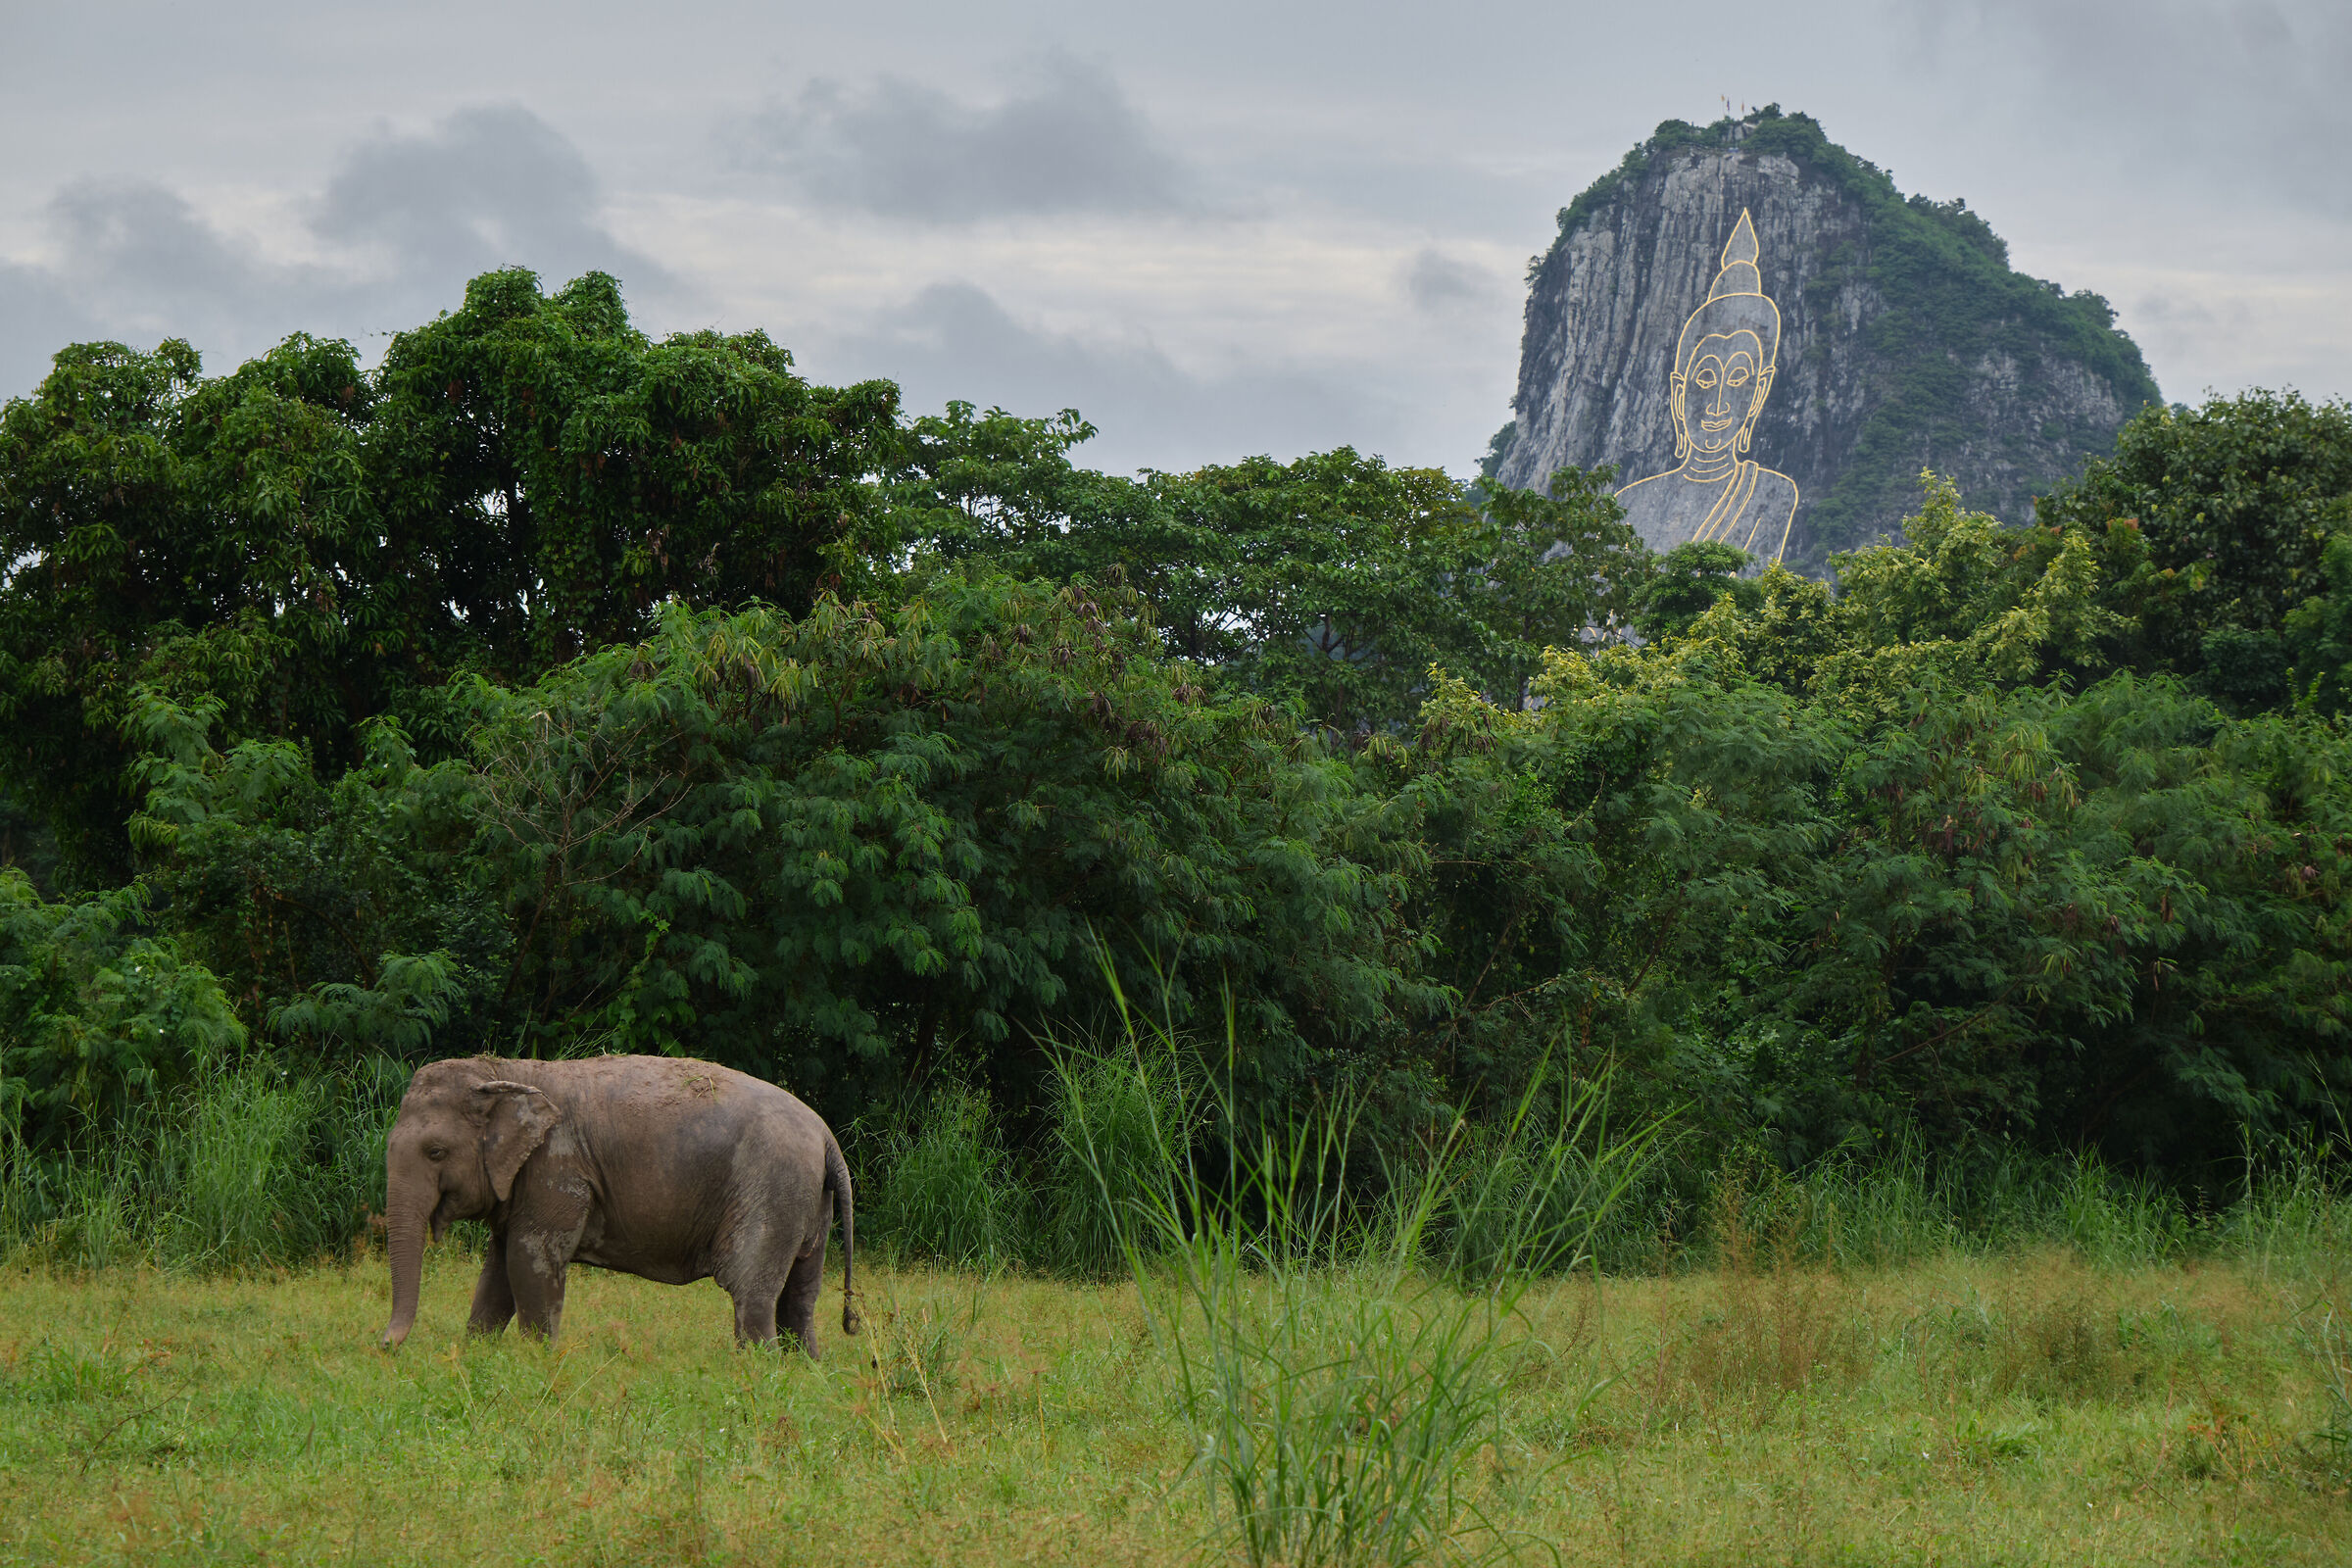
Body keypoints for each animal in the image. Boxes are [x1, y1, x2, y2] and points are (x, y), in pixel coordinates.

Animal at [377, 1054, 858, 1356]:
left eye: (435, 1152)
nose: (384, 1345)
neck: (504, 1070)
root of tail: (826, 1137)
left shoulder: (557, 1167)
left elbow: (530, 1258)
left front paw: (535, 1361)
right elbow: (498, 1269)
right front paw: (477, 1353)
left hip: (772, 1189)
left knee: (751, 1292)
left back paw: (757, 1372)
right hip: (809, 1201)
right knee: (800, 1297)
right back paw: (805, 1370)